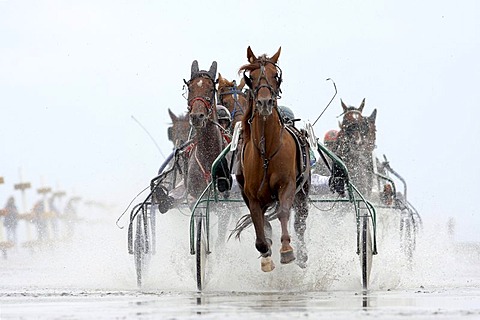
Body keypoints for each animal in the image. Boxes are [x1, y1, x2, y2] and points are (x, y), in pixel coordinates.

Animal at [233, 47, 312, 272]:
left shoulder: (288, 185)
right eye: (251, 77)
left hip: (303, 191)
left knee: (300, 221)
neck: (266, 152)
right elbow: (258, 224)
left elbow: (284, 212)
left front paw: (286, 249)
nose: (265, 102)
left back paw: (302, 254)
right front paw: (266, 253)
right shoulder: (251, 195)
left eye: (275, 75)